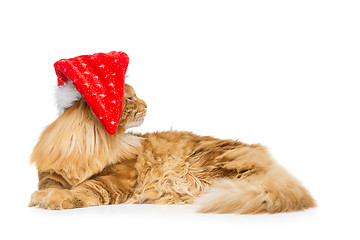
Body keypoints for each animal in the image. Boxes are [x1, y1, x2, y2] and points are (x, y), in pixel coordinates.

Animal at [28, 84, 316, 214]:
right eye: (129, 98)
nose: (147, 104)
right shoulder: (51, 174)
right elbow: (51, 185)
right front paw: (41, 197)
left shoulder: (118, 179)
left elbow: (85, 189)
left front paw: (54, 200)